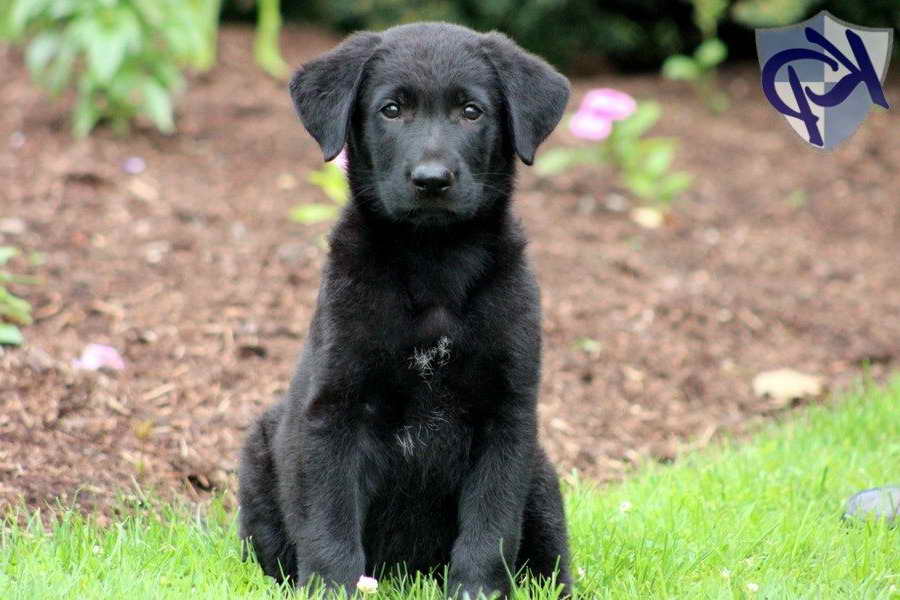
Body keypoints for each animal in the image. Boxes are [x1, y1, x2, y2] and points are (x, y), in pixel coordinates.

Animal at [239, 21, 572, 596]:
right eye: (391, 110)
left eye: (471, 111)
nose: (432, 179)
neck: (433, 263)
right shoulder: (335, 410)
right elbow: (330, 521)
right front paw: (333, 586)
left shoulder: (508, 413)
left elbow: (491, 521)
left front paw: (476, 589)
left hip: (540, 475)